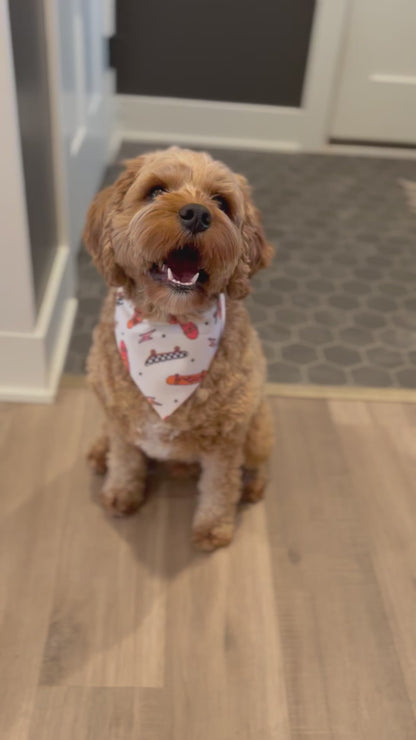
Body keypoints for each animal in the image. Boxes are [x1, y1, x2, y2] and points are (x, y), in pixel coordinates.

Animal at [83, 146, 274, 548]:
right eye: (156, 191)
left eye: (221, 202)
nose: (198, 213)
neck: (169, 323)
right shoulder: (121, 420)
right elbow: (125, 459)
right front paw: (121, 493)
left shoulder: (226, 438)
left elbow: (220, 485)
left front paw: (213, 527)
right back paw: (99, 451)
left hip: (258, 428)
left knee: (255, 464)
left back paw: (252, 486)